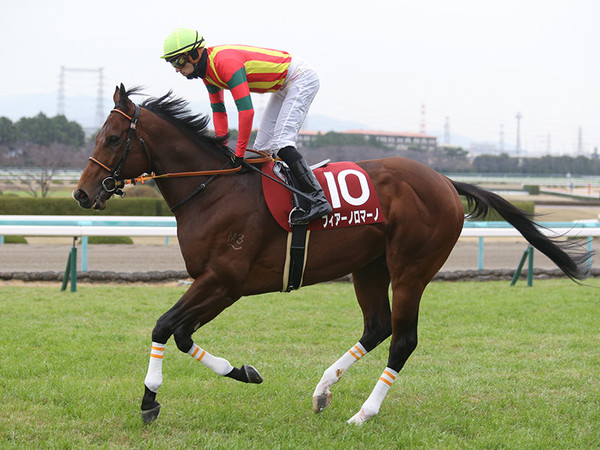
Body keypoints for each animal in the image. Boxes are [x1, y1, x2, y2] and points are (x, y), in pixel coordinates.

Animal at [72, 84, 588, 426]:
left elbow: (164, 326)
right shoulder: (213, 282)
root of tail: (444, 179)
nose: (81, 194)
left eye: (113, 139)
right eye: (96, 136)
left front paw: (149, 401)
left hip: (411, 268)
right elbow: (180, 333)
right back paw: (323, 391)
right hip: (369, 266)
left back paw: (363, 413)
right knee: (377, 326)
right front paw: (243, 371)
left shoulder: (225, 280)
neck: (213, 189)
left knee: (403, 339)